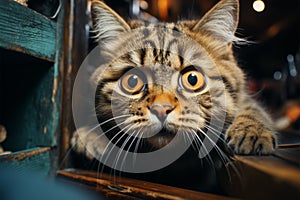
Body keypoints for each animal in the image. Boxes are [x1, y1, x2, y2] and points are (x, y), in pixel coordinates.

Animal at [70, 0, 276, 175]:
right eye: (132, 81)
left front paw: (253, 131)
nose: (161, 109)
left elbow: (252, 110)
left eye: (192, 79)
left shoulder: (245, 99)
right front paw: (92, 135)